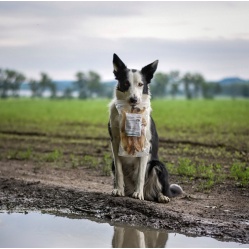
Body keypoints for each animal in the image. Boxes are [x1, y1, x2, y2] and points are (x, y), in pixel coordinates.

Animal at [108, 54, 182, 202]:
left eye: (141, 84)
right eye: (126, 83)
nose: (134, 100)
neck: (130, 112)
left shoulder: (145, 146)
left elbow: (140, 176)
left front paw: (138, 193)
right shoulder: (115, 143)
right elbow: (119, 172)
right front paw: (118, 190)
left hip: (158, 166)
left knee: (158, 189)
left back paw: (161, 196)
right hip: (112, 163)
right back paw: (127, 191)